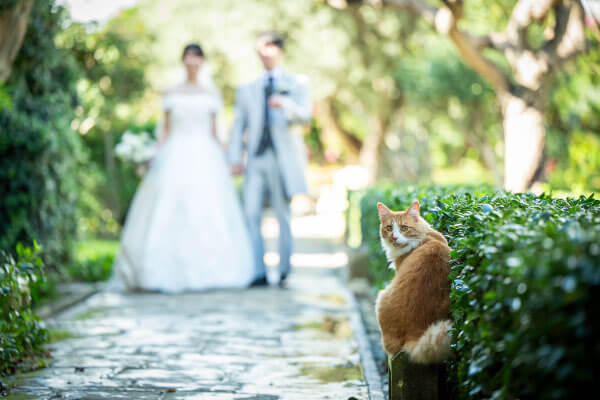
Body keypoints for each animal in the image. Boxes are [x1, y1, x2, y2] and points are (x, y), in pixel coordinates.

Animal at [376, 202, 450, 364]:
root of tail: (413, 332)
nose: (394, 237)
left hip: (381, 296)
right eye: (389, 228)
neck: (424, 238)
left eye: (404, 228)